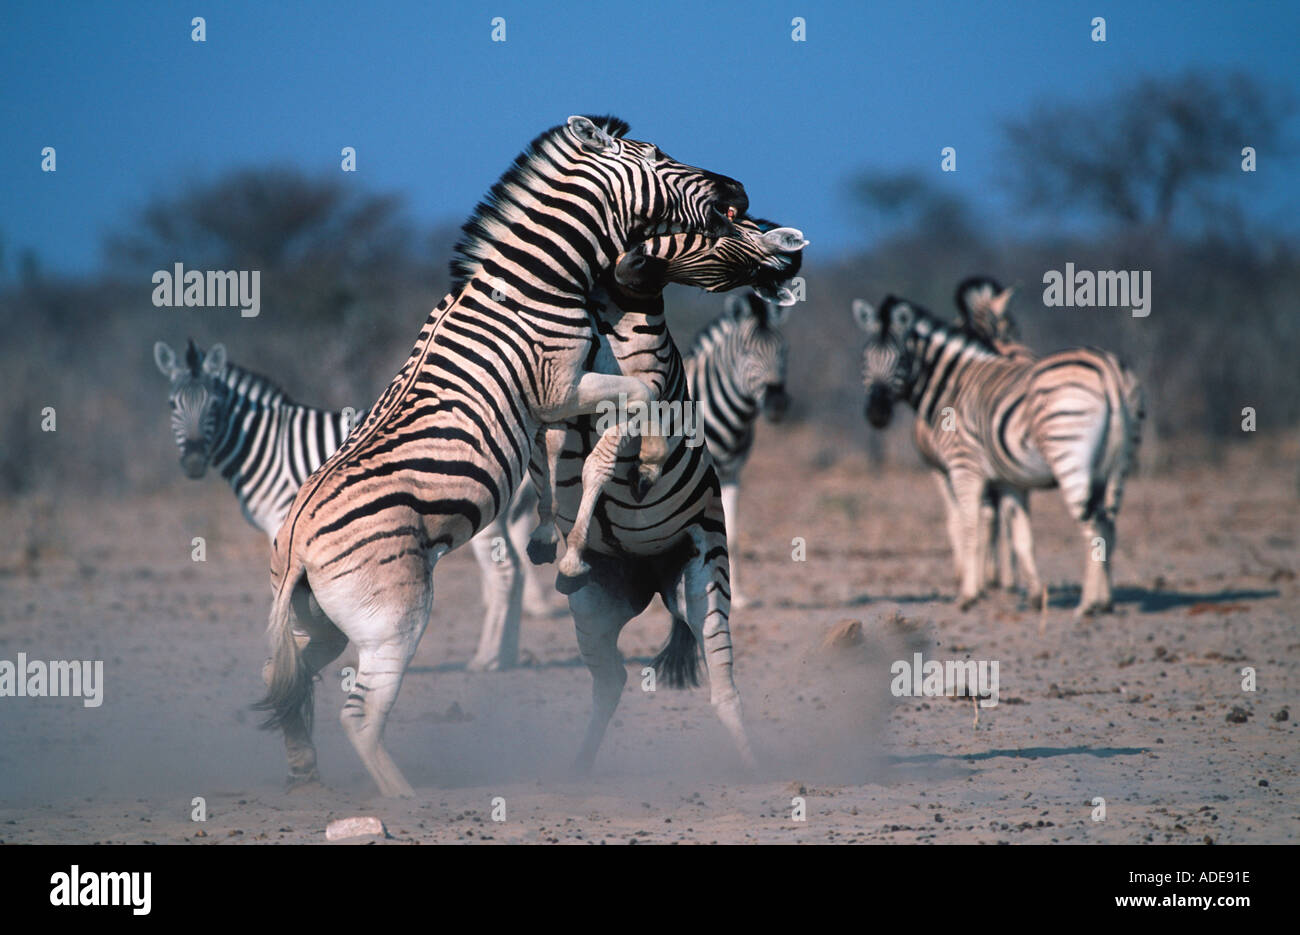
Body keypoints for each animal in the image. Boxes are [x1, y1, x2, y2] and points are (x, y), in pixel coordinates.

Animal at [152, 338, 555, 673]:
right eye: (172, 405)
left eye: (214, 405)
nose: (193, 461)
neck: (265, 445)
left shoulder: (287, 520)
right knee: (515, 572)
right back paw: (506, 655)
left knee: (504, 574)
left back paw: (487, 659)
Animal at [256, 116, 762, 796]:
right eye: (658, 155)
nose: (741, 189)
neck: (536, 281)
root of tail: (296, 546)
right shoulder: (561, 385)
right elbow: (632, 400)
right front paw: (624, 486)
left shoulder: (549, 404)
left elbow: (554, 462)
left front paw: (554, 539)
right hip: (395, 618)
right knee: (358, 713)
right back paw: (405, 798)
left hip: (326, 626)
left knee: (289, 681)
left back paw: (305, 774)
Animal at [852, 293, 1144, 616]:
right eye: (866, 358)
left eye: (901, 359)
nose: (876, 414)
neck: (953, 387)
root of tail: (1108, 371)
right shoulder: (1009, 481)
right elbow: (1021, 537)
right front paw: (1034, 596)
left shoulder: (963, 468)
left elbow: (970, 527)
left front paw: (968, 596)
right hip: (1116, 467)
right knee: (1109, 524)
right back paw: (1105, 602)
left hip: (1069, 456)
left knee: (1093, 526)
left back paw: (1087, 605)